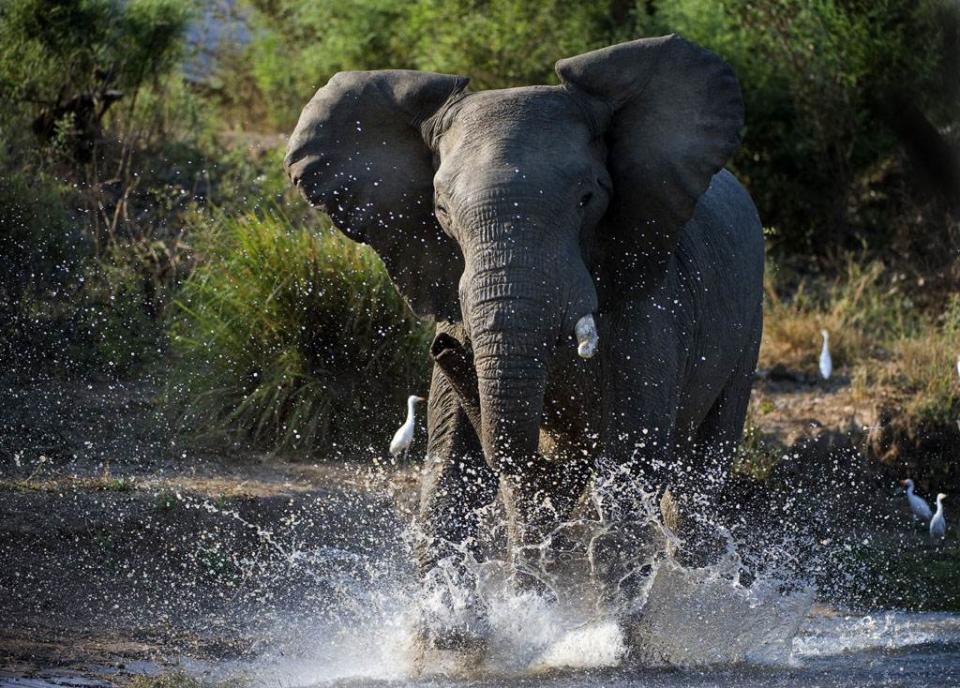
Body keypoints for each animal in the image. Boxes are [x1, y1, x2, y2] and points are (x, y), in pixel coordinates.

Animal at [284, 35, 764, 648]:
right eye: (440, 211)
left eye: (589, 197)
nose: (444, 349)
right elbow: (451, 472)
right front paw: (454, 640)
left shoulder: (652, 305)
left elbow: (629, 468)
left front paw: (611, 647)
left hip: (749, 321)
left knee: (700, 483)